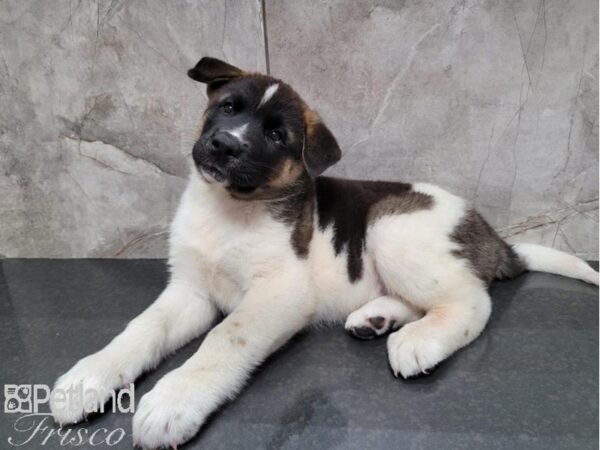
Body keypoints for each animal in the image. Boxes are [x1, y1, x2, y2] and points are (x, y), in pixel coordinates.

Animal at [52, 58, 600, 448]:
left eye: (276, 135)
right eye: (228, 108)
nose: (224, 144)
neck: (230, 209)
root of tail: (490, 234)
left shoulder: (279, 294)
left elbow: (224, 339)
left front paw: (174, 400)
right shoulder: (190, 291)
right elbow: (141, 330)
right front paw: (88, 378)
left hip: (391, 226)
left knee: (471, 302)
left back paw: (418, 341)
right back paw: (376, 319)